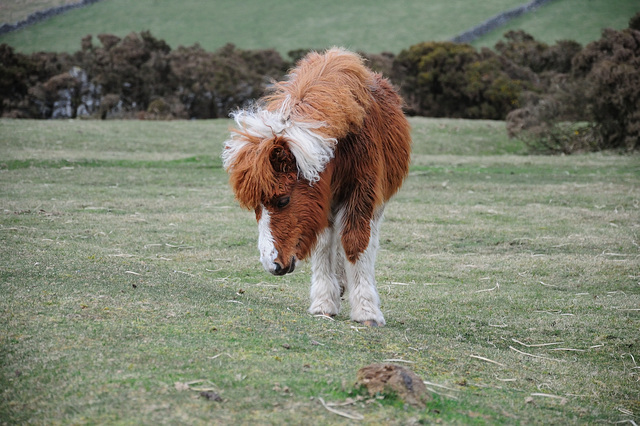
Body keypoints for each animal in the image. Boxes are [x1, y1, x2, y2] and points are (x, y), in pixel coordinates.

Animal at [221, 47, 410, 326]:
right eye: (256, 207)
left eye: (283, 200)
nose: (271, 265)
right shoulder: (321, 201)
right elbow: (323, 245)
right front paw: (324, 303)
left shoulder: (361, 193)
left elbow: (356, 242)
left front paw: (367, 311)